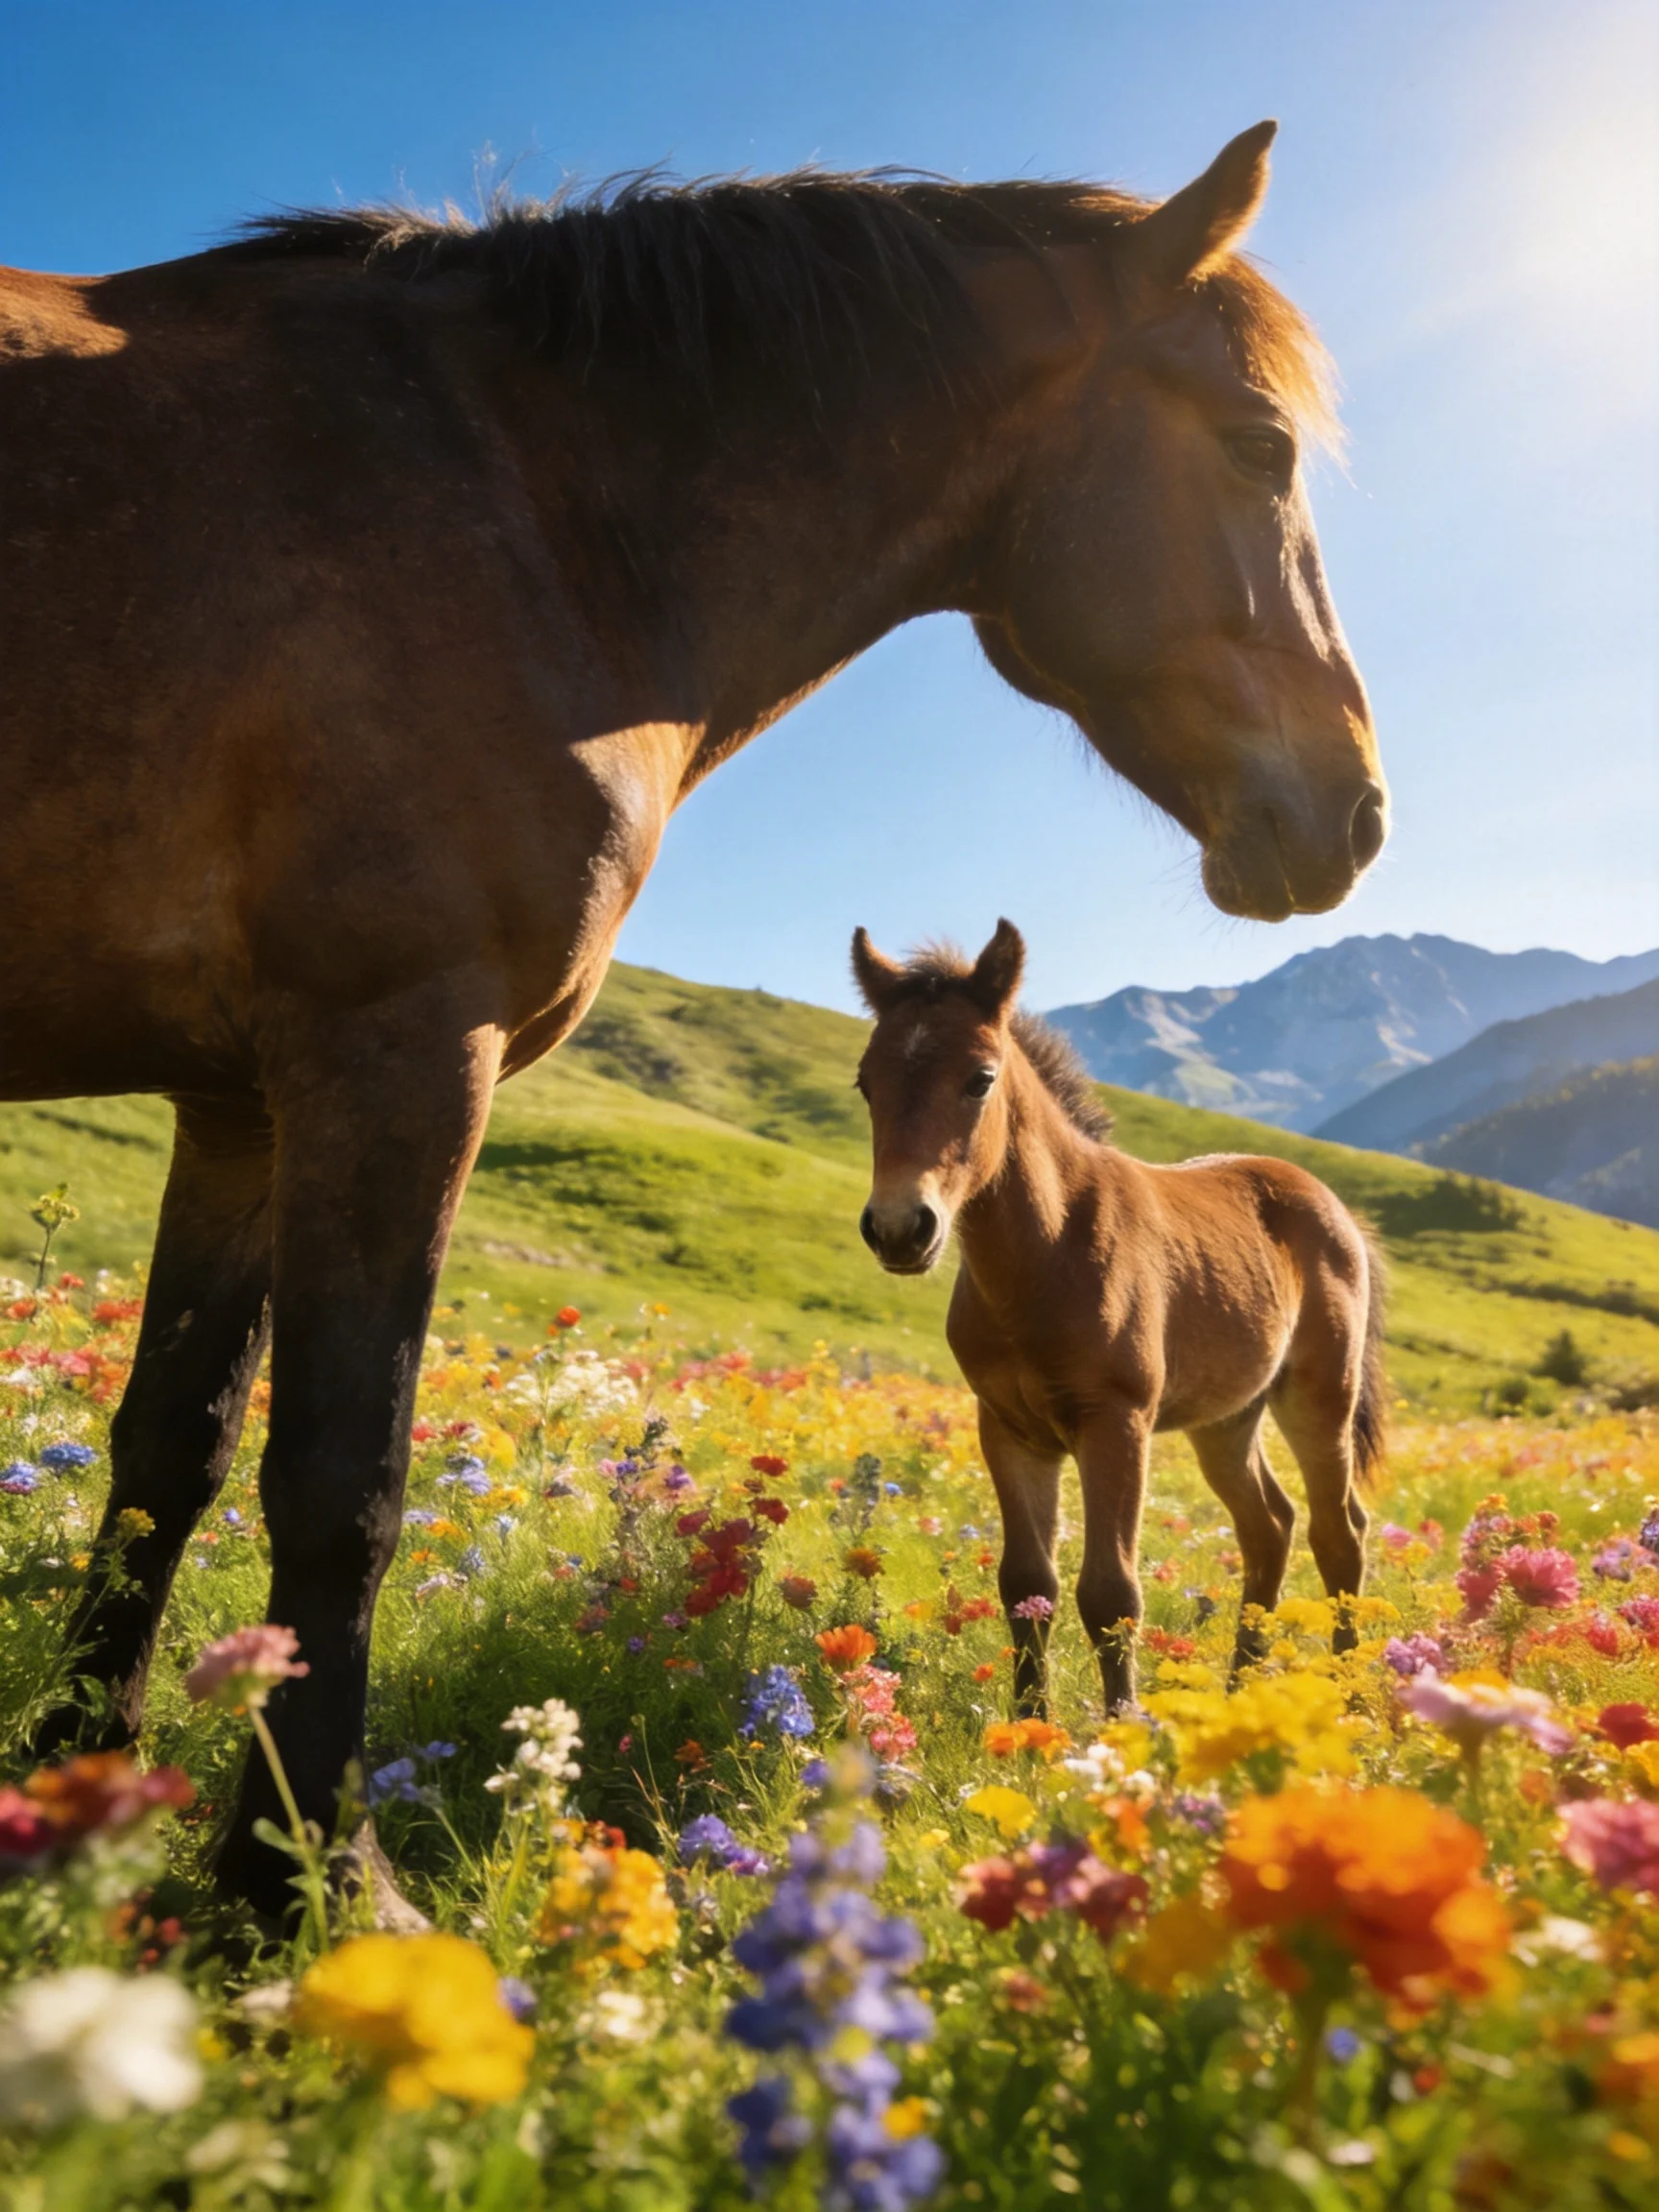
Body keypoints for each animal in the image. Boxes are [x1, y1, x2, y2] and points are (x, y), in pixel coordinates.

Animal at [851, 921, 1385, 1715]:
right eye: (866, 1083)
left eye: (980, 1078)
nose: (897, 1228)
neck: (1044, 1259)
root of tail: (1332, 1205)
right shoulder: (1008, 1430)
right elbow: (1026, 1586)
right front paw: (1029, 1730)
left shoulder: (1117, 1423)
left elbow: (1110, 1594)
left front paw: (1119, 1727)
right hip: (1226, 1418)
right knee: (1269, 1526)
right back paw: (1237, 1692)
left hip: (1319, 1397)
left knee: (1338, 1533)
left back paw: (1351, 1702)